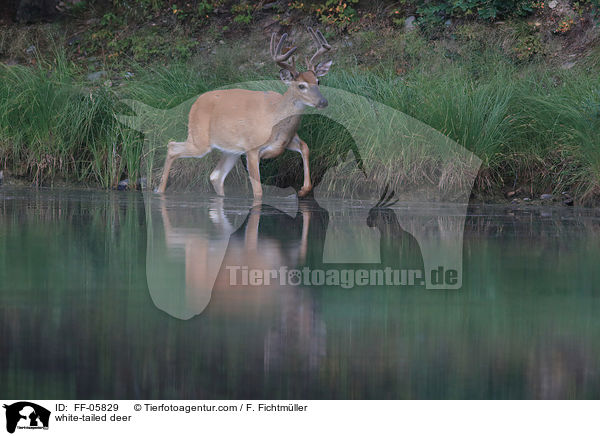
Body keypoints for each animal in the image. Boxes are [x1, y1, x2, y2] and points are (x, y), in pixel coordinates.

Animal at [156, 29, 332, 200]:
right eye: (301, 86)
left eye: (318, 81)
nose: (323, 101)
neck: (275, 118)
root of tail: (195, 103)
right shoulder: (252, 148)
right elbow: (258, 191)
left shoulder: (286, 141)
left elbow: (305, 147)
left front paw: (302, 191)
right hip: (200, 139)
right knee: (172, 147)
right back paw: (160, 191)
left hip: (230, 150)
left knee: (215, 176)